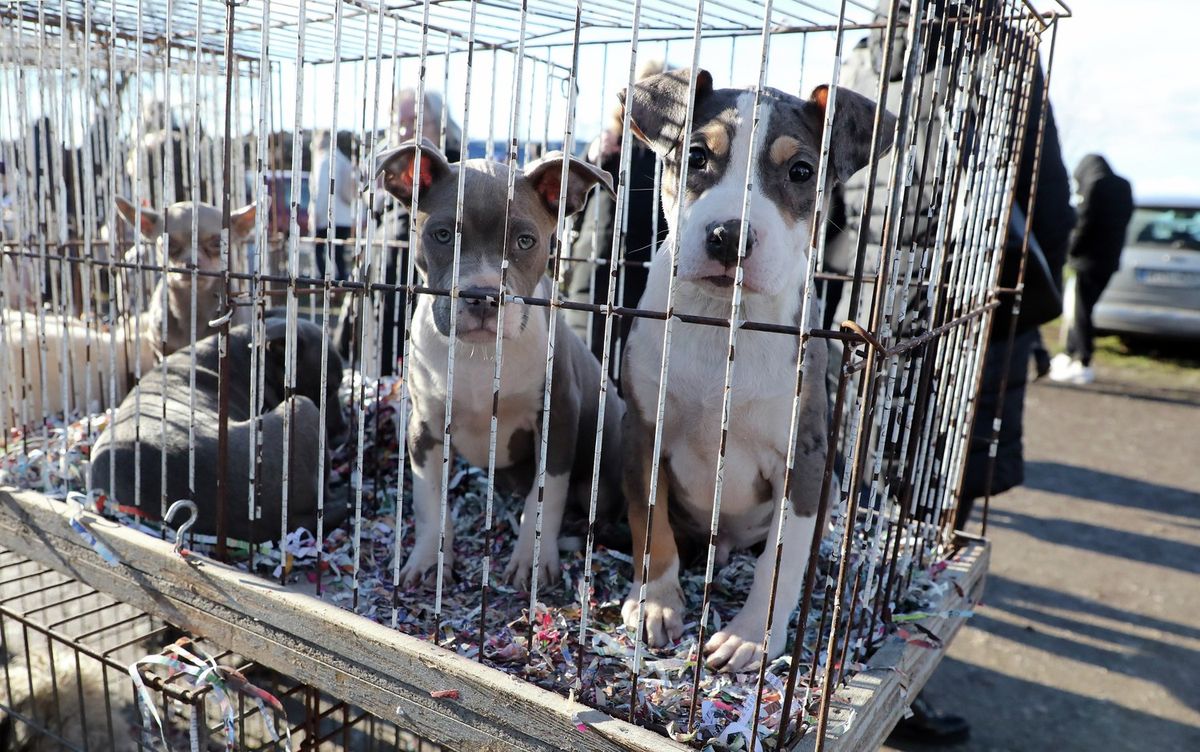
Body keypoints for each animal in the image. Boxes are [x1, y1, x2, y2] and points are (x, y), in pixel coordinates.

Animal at [376, 139, 628, 587]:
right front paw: (430, 559)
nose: (481, 296)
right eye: (443, 235)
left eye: (526, 241)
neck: (479, 358)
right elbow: (429, 499)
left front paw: (532, 559)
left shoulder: (557, 417)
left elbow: (546, 496)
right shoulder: (424, 425)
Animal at [619, 69, 892, 671]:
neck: (726, 321)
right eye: (695, 155)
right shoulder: (644, 434)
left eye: (802, 171)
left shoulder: (804, 460)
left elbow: (779, 564)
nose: (728, 236)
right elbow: (652, 525)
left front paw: (749, 638)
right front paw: (656, 603)